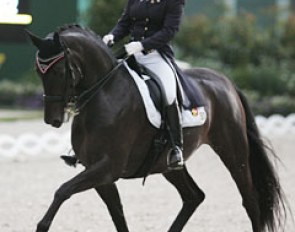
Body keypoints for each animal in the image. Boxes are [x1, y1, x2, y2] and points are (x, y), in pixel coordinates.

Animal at [27, 24, 286, 231]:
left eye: (59, 71)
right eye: (38, 71)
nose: (52, 120)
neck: (105, 93)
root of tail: (226, 81)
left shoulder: (108, 167)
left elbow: (63, 190)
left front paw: (42, 225)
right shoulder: (98, 171)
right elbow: (117, 214)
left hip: (233, 151)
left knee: (249, 198)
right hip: (168, 164)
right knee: (193, 197)